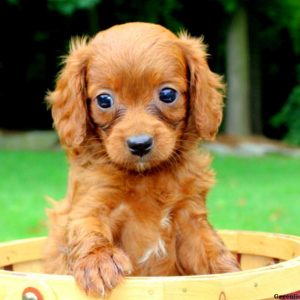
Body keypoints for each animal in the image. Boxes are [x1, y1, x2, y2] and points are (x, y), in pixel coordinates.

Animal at [44, 22, 240, 296]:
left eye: (167, 94)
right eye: (104, 100)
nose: (140, 144)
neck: (146, 176)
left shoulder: (189, 218)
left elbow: (210, 247)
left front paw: (231, 274)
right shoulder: (90, 202)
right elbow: (88, 227)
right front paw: (99, 261)